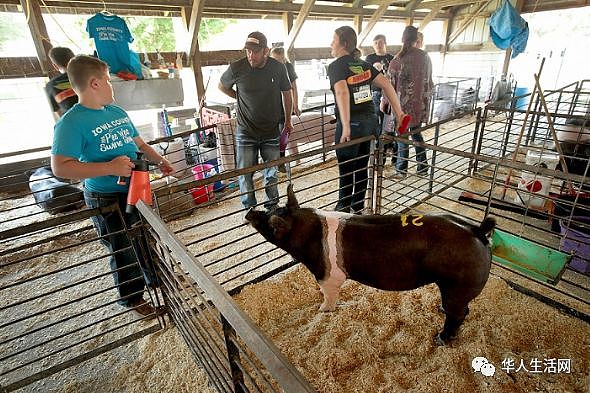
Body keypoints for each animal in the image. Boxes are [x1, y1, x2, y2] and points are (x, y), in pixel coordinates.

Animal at [246, 184, 500, 344]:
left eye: (270, 223)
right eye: (270, 208)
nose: (249, 211)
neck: (308, 232)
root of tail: (477, 230)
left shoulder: (326, 275)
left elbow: (328, 295)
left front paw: (322, 310)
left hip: (459, 286)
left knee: (460, 314)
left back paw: (440, 339)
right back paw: (440, 310)